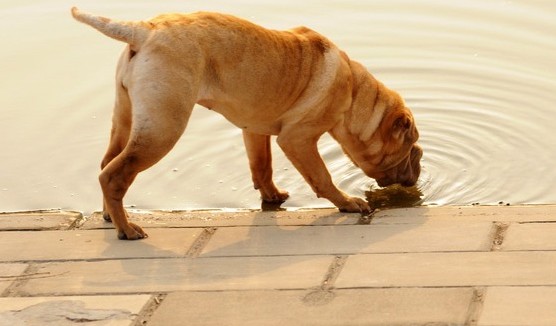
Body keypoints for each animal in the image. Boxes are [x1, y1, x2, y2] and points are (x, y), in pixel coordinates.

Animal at [71, 7, 424, 239]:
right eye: (411, 146)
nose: (420, 159)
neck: (354, 93)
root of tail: (143, 30)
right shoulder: (299, 139)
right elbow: (321, 177)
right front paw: (348, 203)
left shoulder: (254, 130)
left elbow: (262, 167)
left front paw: (272, 196)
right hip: (163, 128)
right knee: (115, 174)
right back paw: (127, 230)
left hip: (126, 118)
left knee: (107, 163)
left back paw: (110, 215)